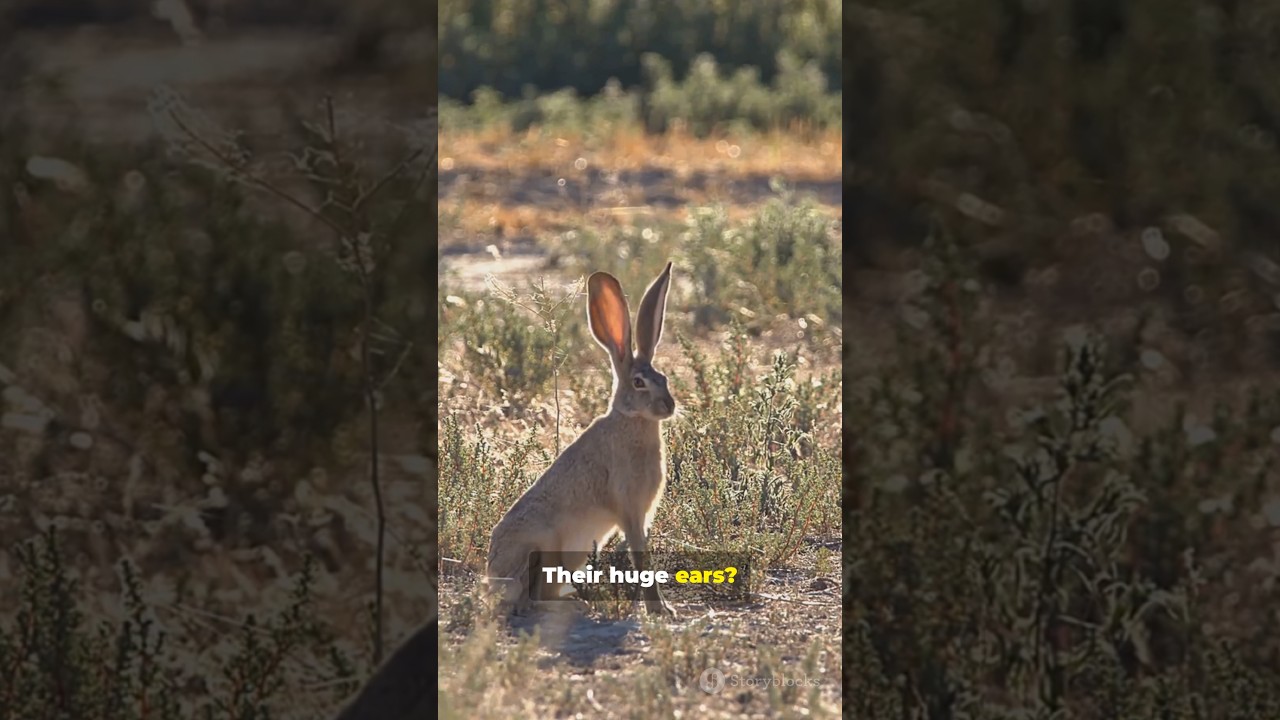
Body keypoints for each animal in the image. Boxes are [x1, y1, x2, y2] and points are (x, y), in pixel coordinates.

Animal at [486, 261, 678, 618]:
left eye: (664, 378)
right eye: (639, 382)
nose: (669, 406)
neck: (631, 420)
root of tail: (492, 580)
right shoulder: (629, 509)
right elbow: (640, 556)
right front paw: (658, 610)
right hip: (543, 547)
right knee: (534, 597)